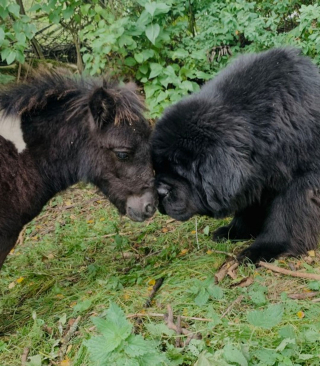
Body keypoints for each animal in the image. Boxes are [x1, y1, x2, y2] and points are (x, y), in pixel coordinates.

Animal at [151, 48, 320, 264]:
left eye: (182, 172)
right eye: (157, 168)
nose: (160, 192)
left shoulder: (301, 179)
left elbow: (287, 214)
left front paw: (263, 249)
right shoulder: (255, 177)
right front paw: (235, 231)